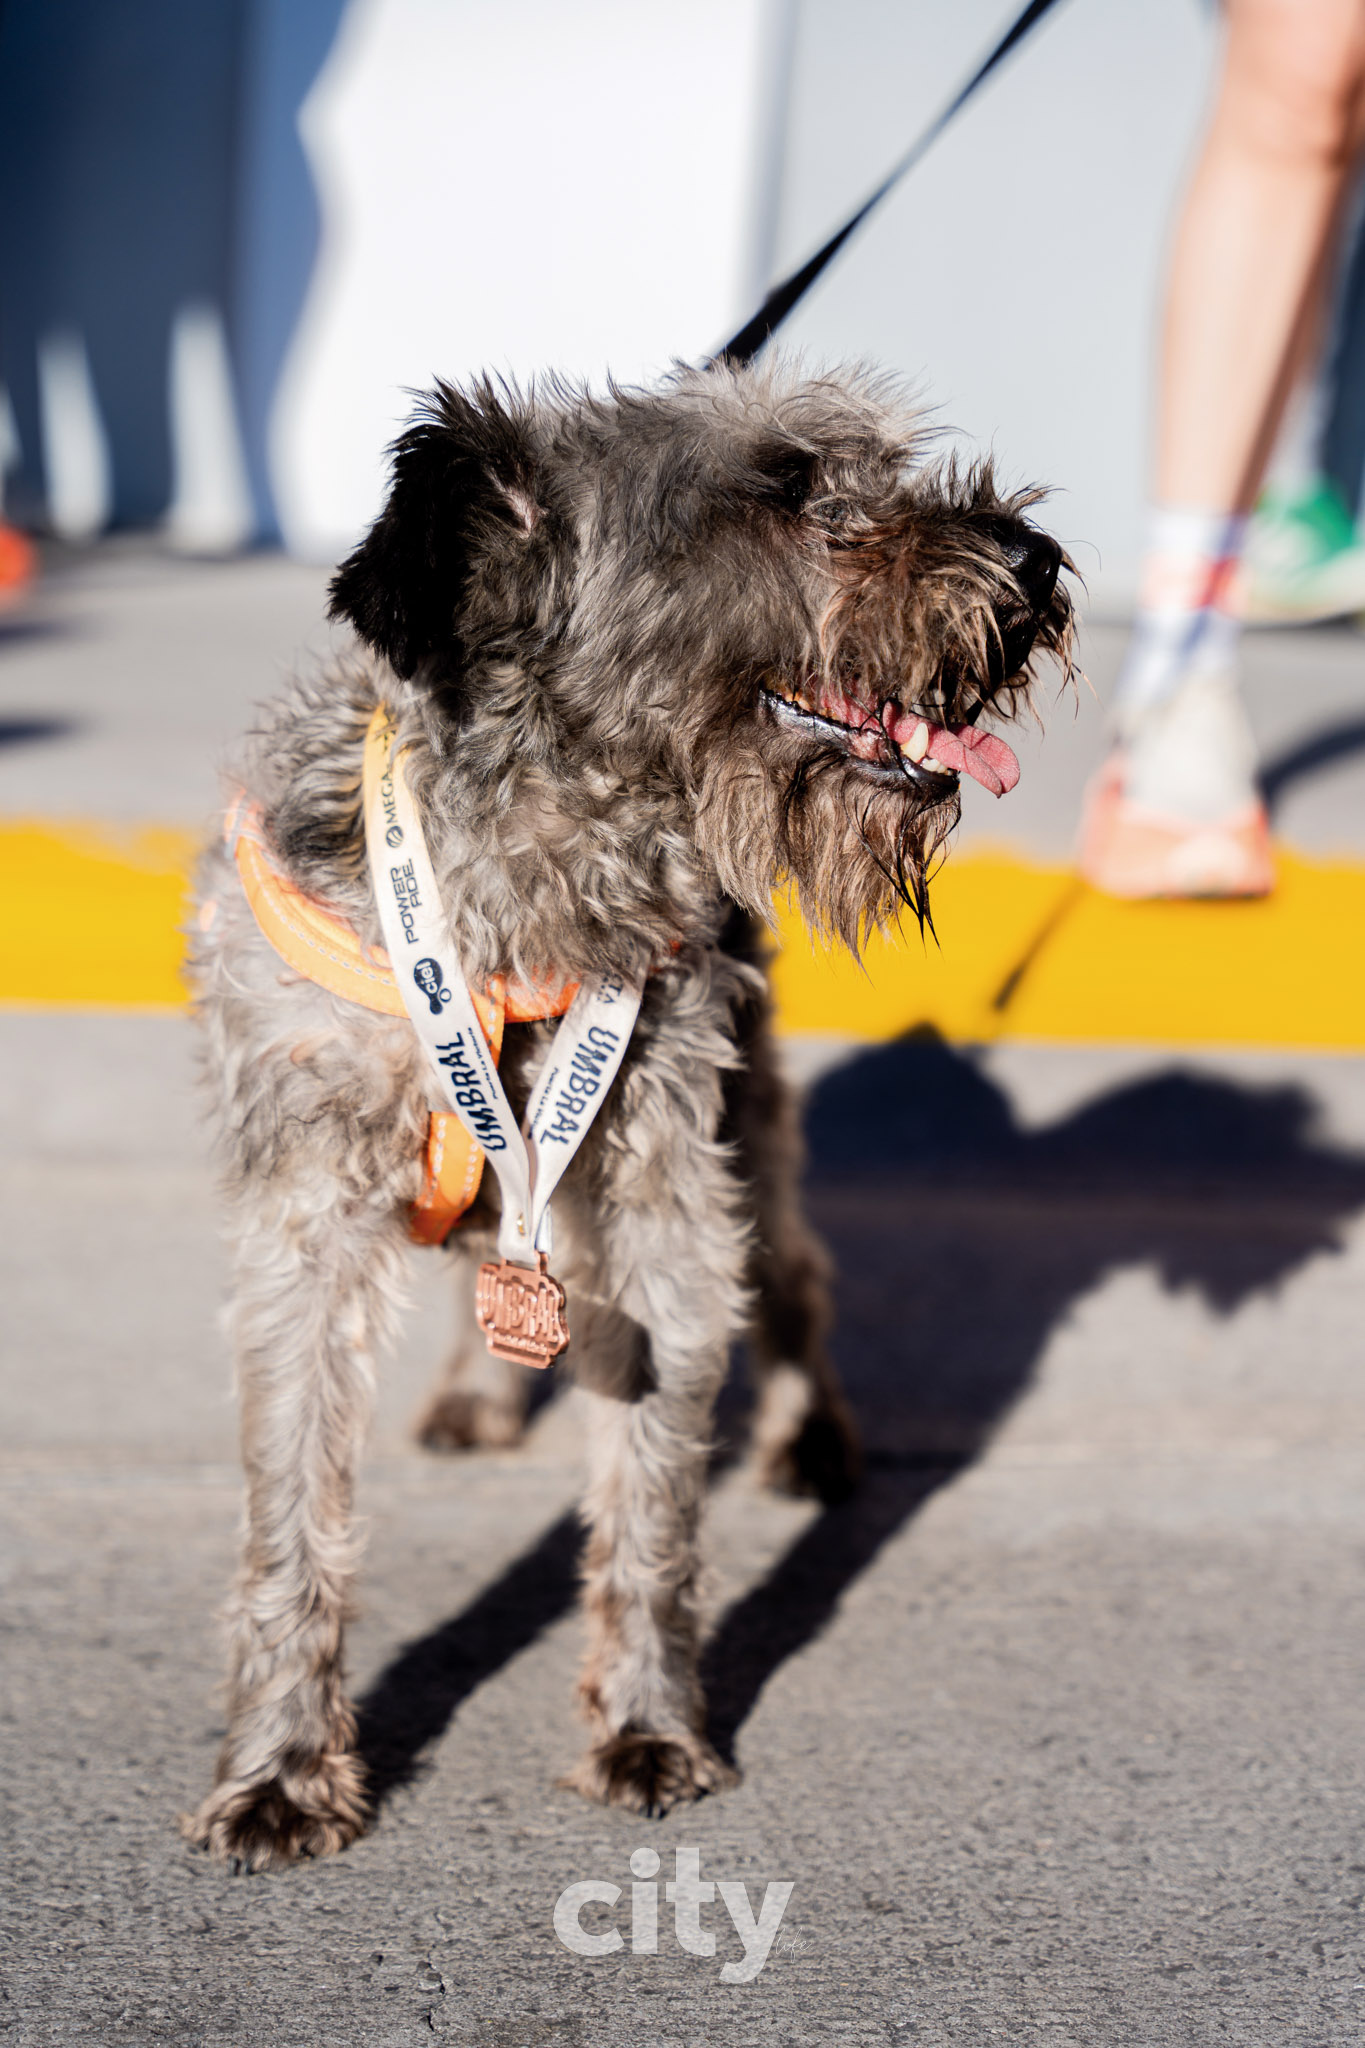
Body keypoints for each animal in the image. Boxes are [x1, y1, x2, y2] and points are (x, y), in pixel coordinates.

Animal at [184, 361, 1071, 1869]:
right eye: (786, 489)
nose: (1034, 557)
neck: (531, 882)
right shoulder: (303, 1231)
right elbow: (291, 1517)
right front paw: (283, 1769)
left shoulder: (662, 1208)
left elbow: (651, 1505)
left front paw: (648, 1723)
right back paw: (483, 1392)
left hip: (750, 1135)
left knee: (799, 1279)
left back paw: (809, 1435)